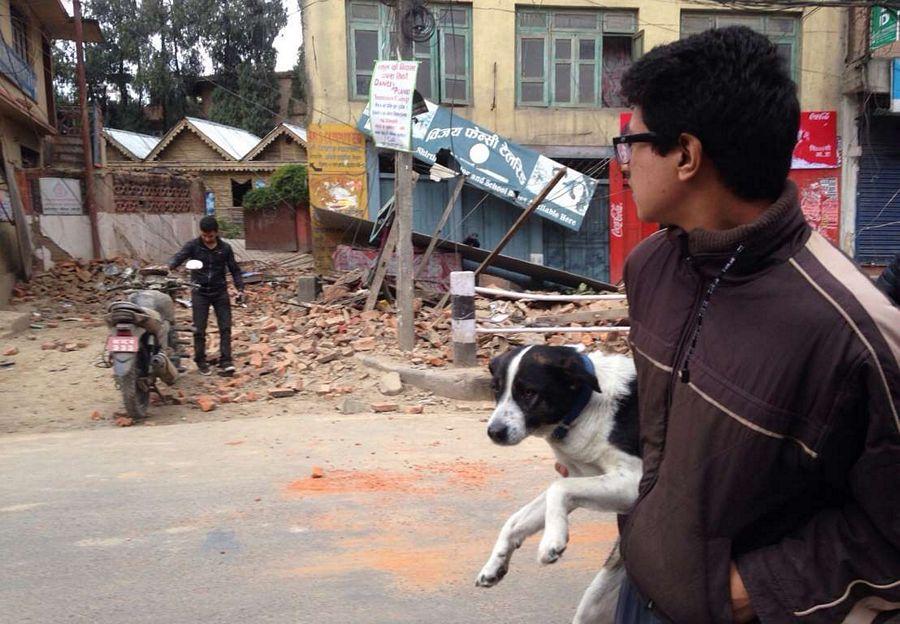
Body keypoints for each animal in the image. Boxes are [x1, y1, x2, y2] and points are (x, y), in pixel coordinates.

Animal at [474, 346, 644, 624]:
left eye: (529, 392)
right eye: (495, 389)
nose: (494, 432)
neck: (585, 406)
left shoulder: (633, 483)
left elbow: (557, 489)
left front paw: (552, 541)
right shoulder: (580, 477)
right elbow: (515, 520)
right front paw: (494, 565)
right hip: (596, 600)